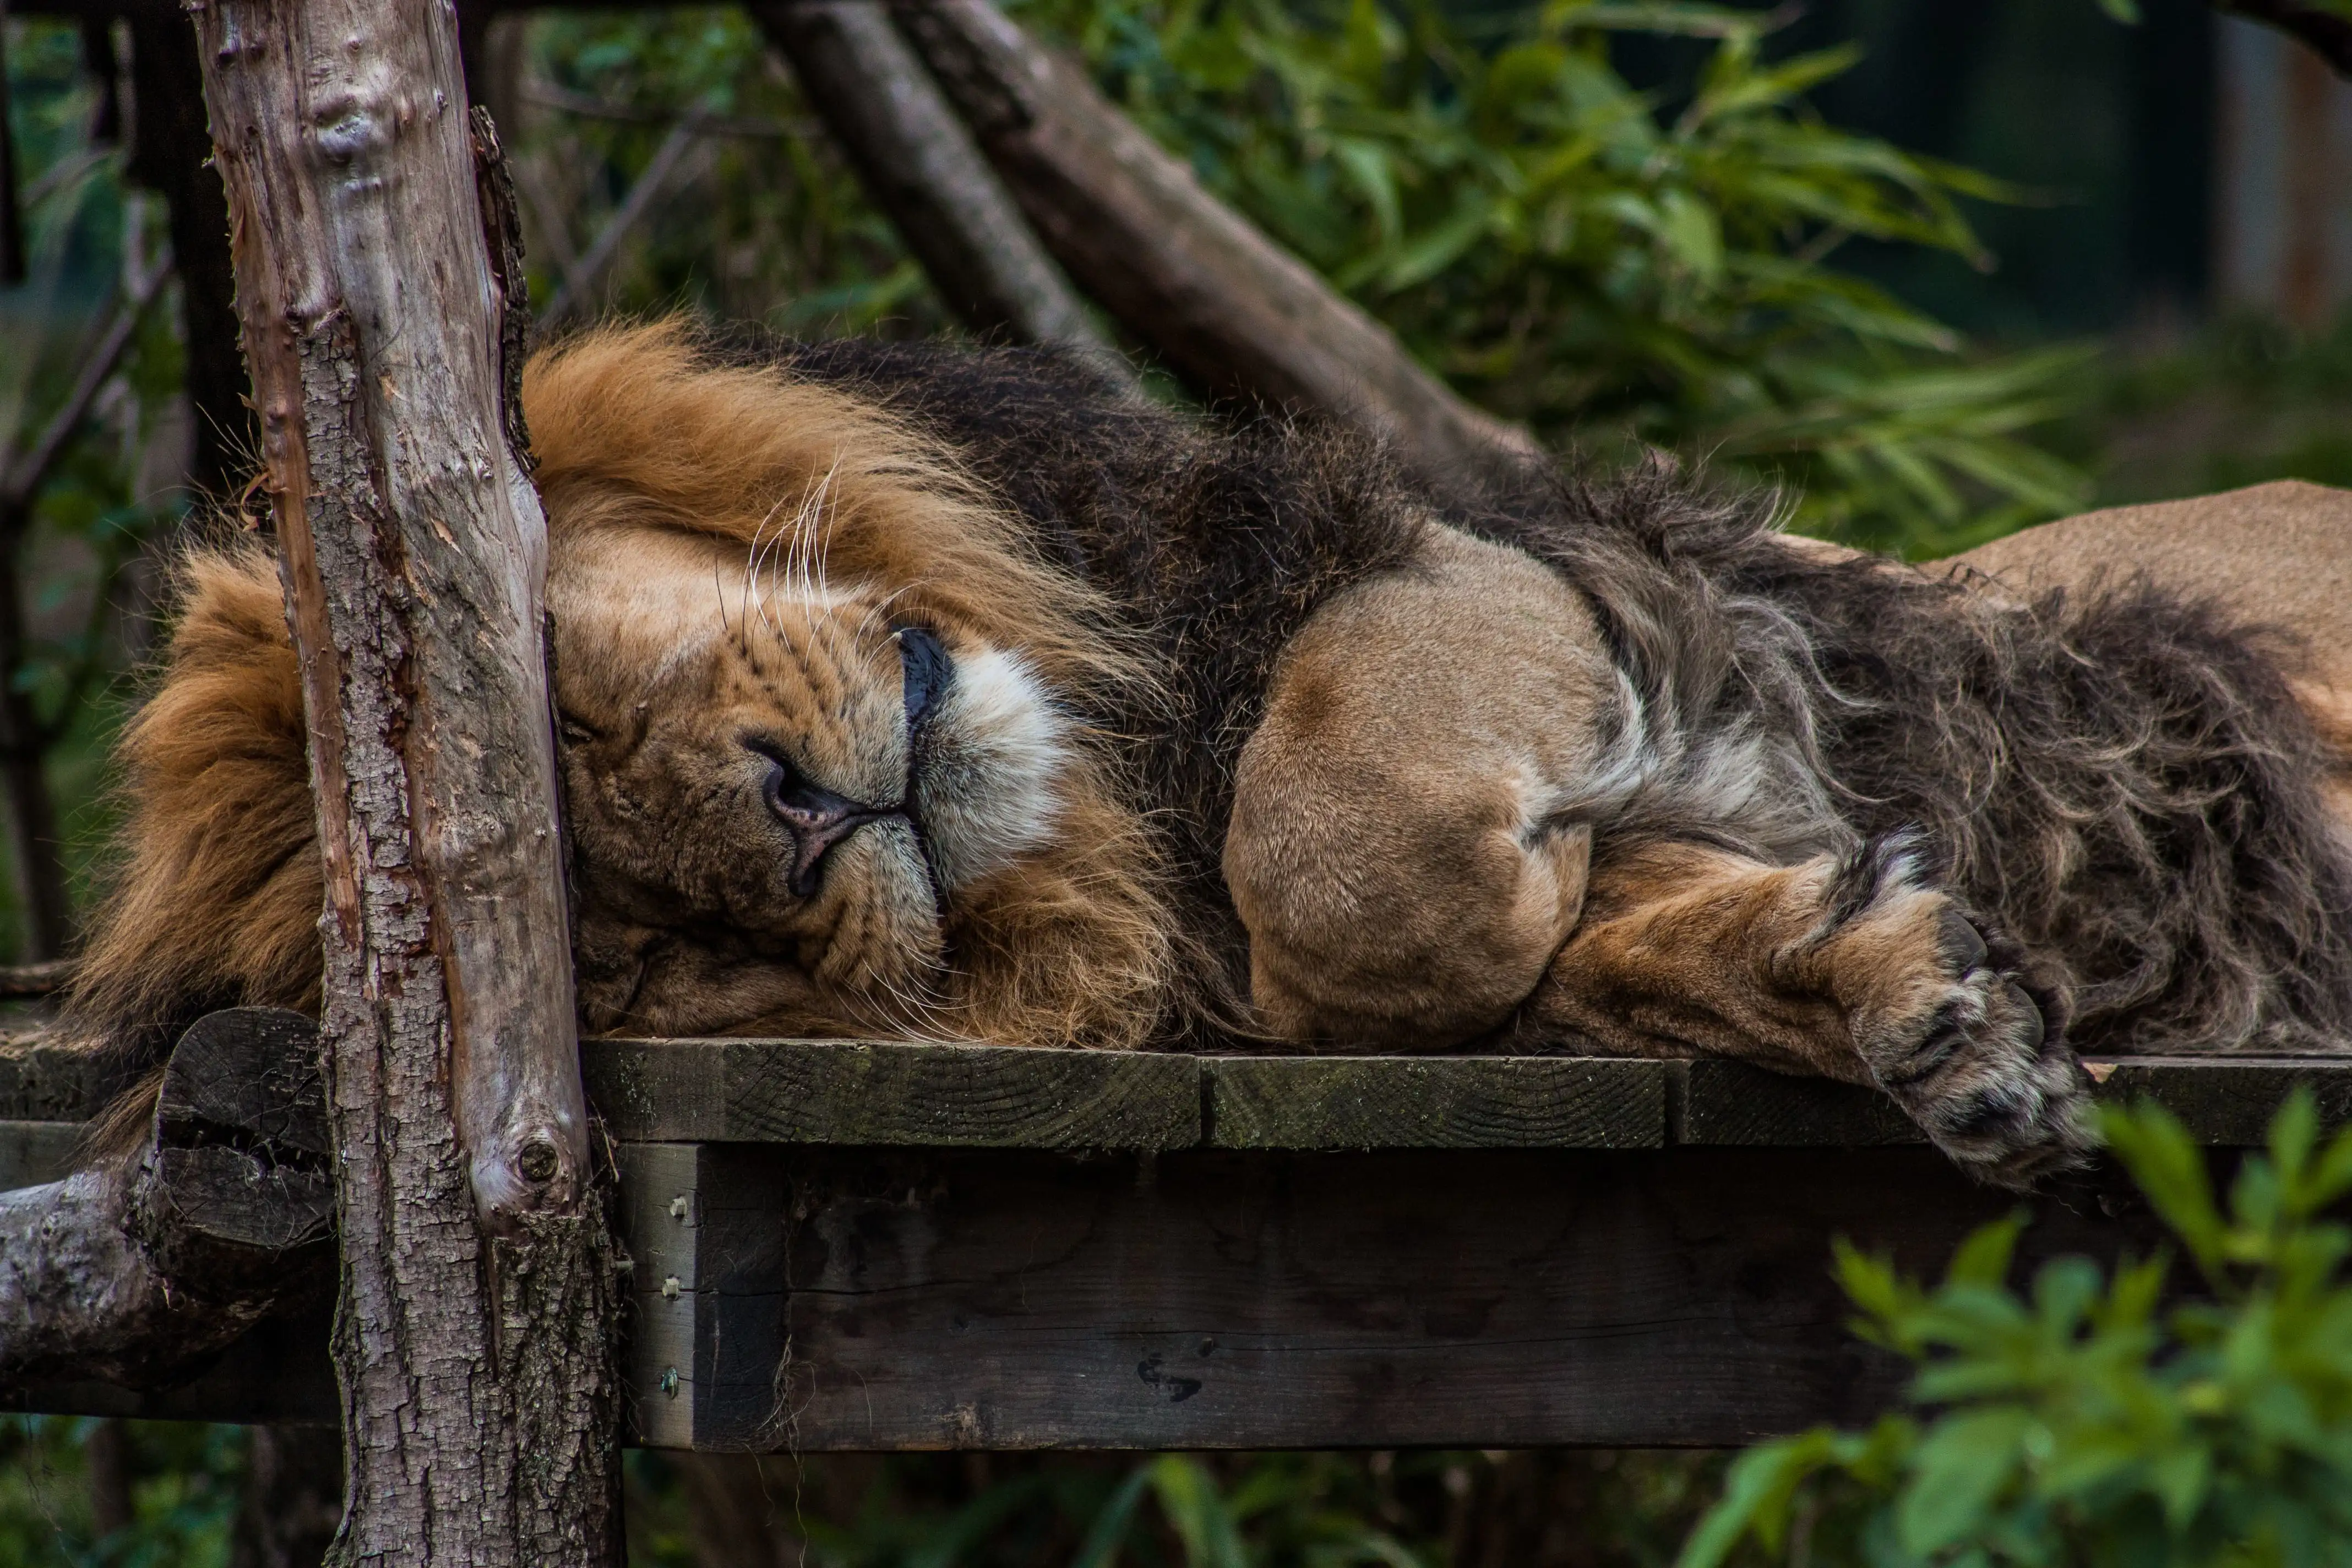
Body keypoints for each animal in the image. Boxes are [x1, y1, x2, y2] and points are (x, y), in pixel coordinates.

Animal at [65, 322, 2352, 1187]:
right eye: (638, 949)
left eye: (560, 691)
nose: (800, 822)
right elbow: (1642, 940)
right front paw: (1935, 1006)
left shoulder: (1476, 570)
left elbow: (1323, 813)